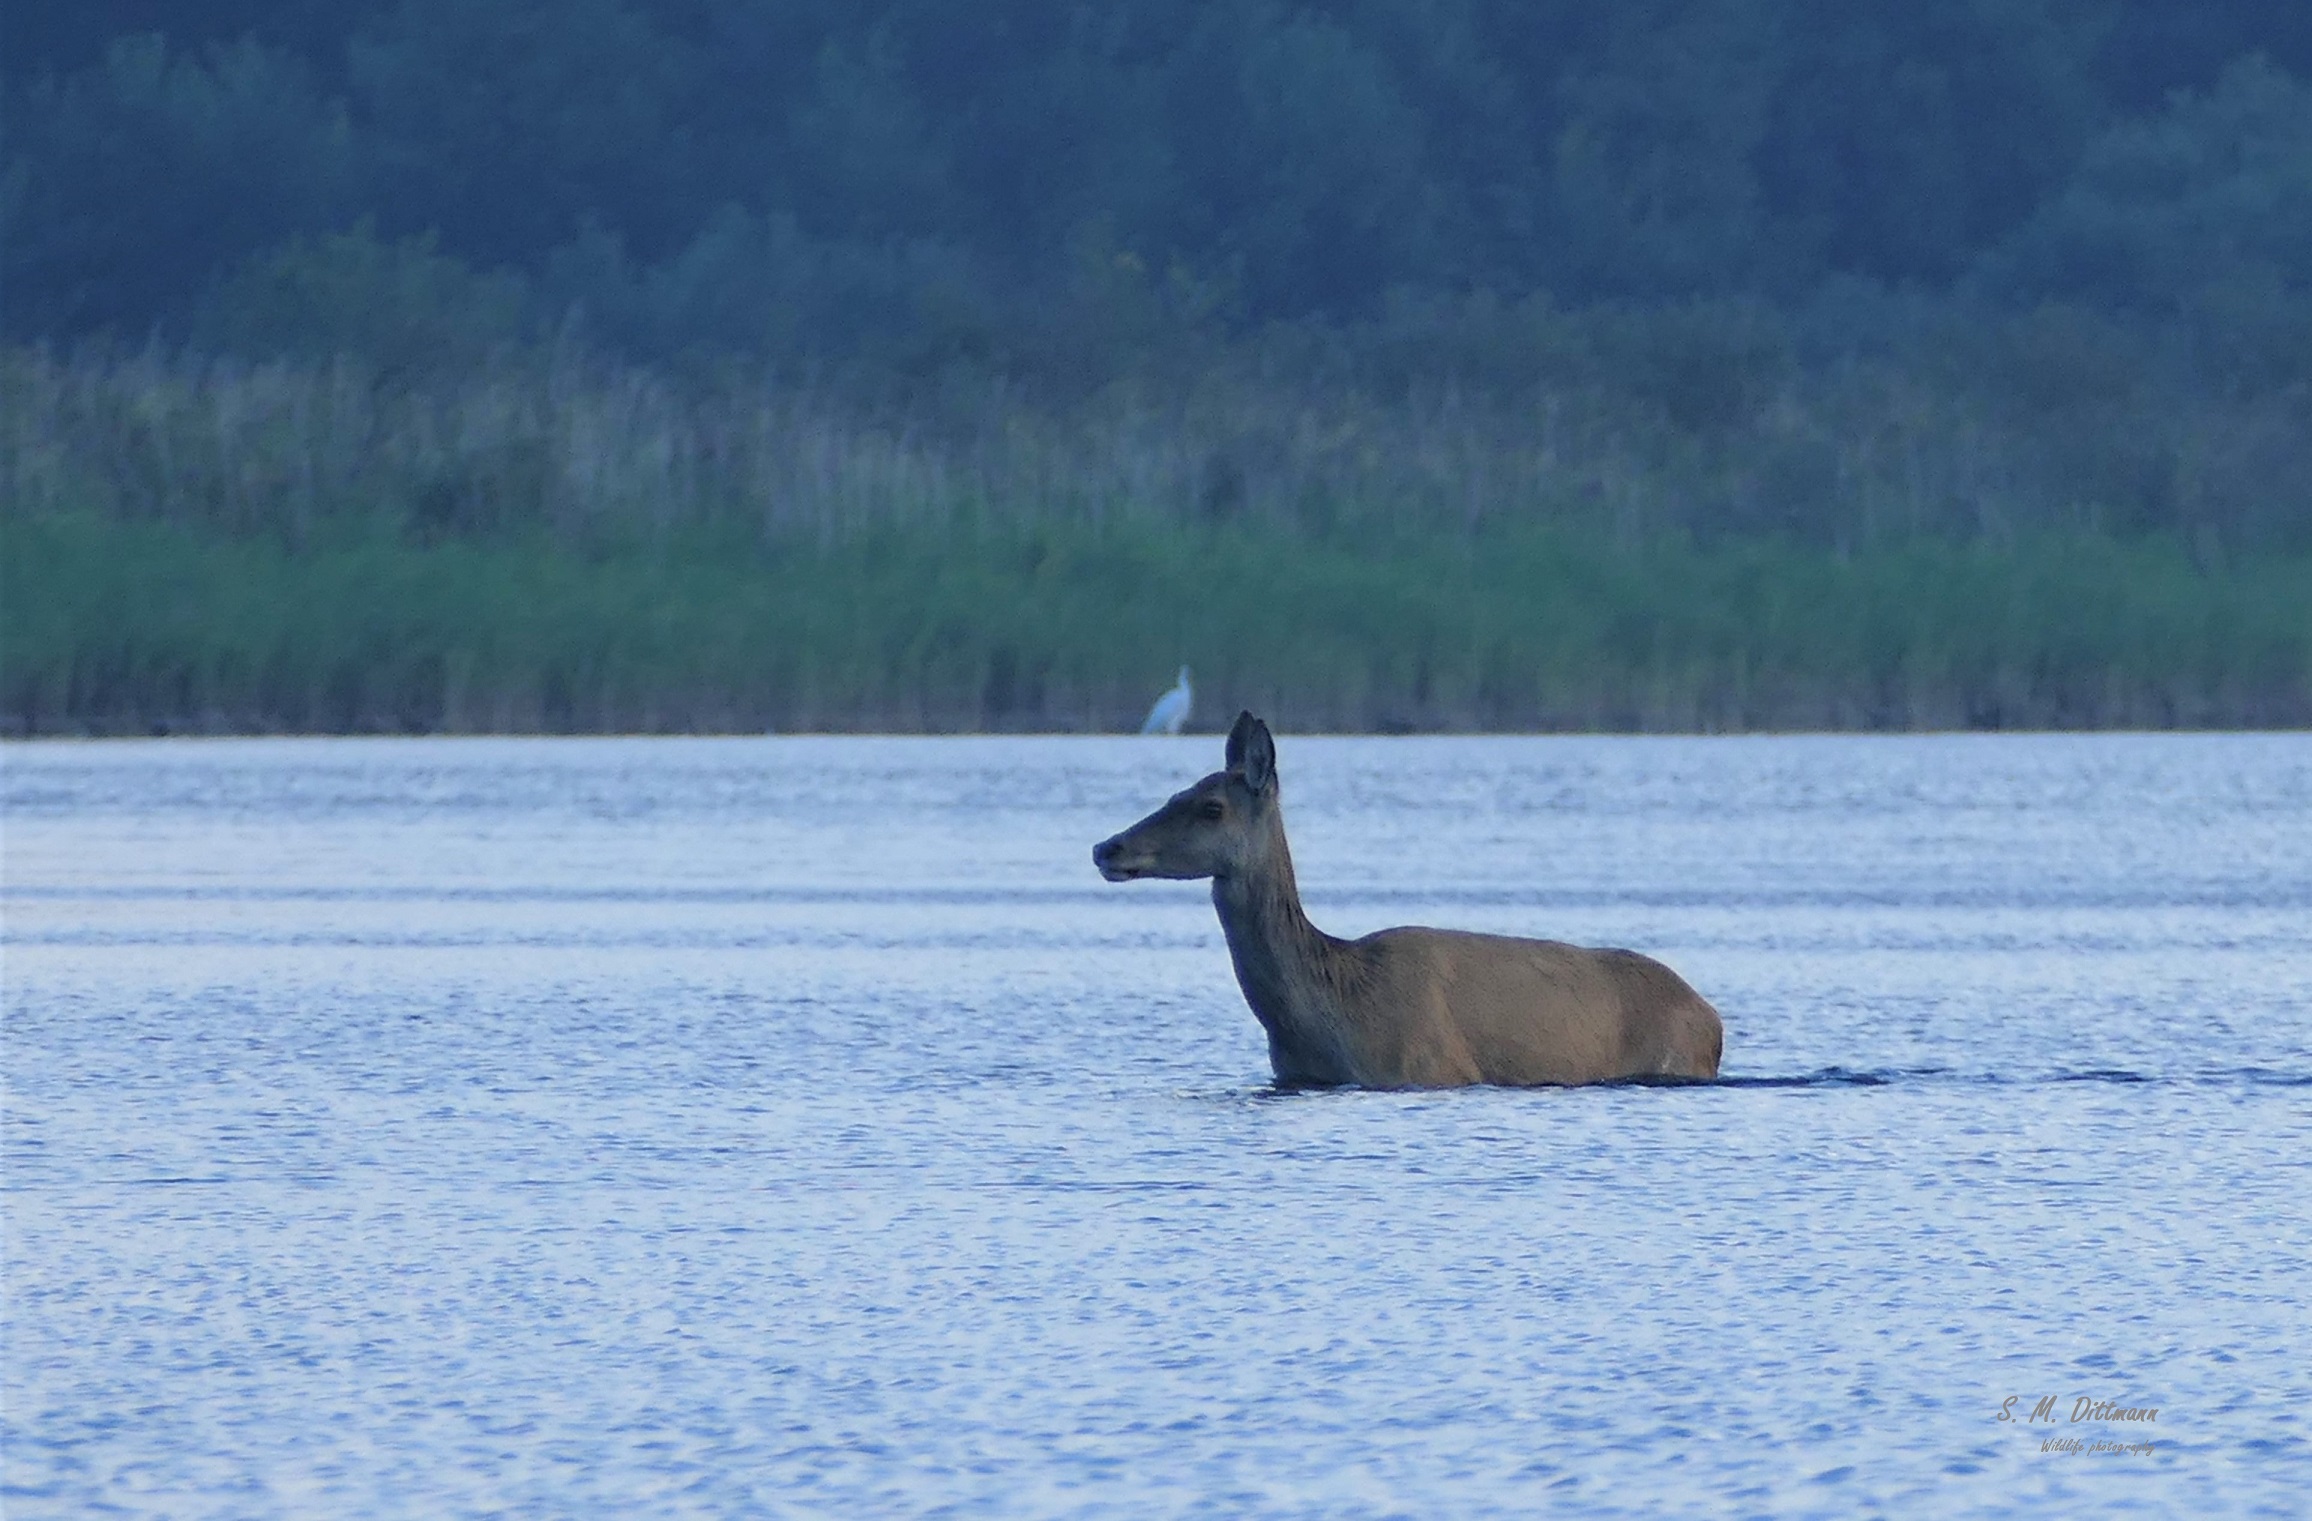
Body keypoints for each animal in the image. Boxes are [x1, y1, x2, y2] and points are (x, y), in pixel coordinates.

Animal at [1091, 711, 1729, 1091]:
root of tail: (1713, 1019)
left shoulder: (1432, 1065)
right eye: (1175, 793)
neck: (1334, 1013)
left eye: (1211, 808)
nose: (1106, 846)